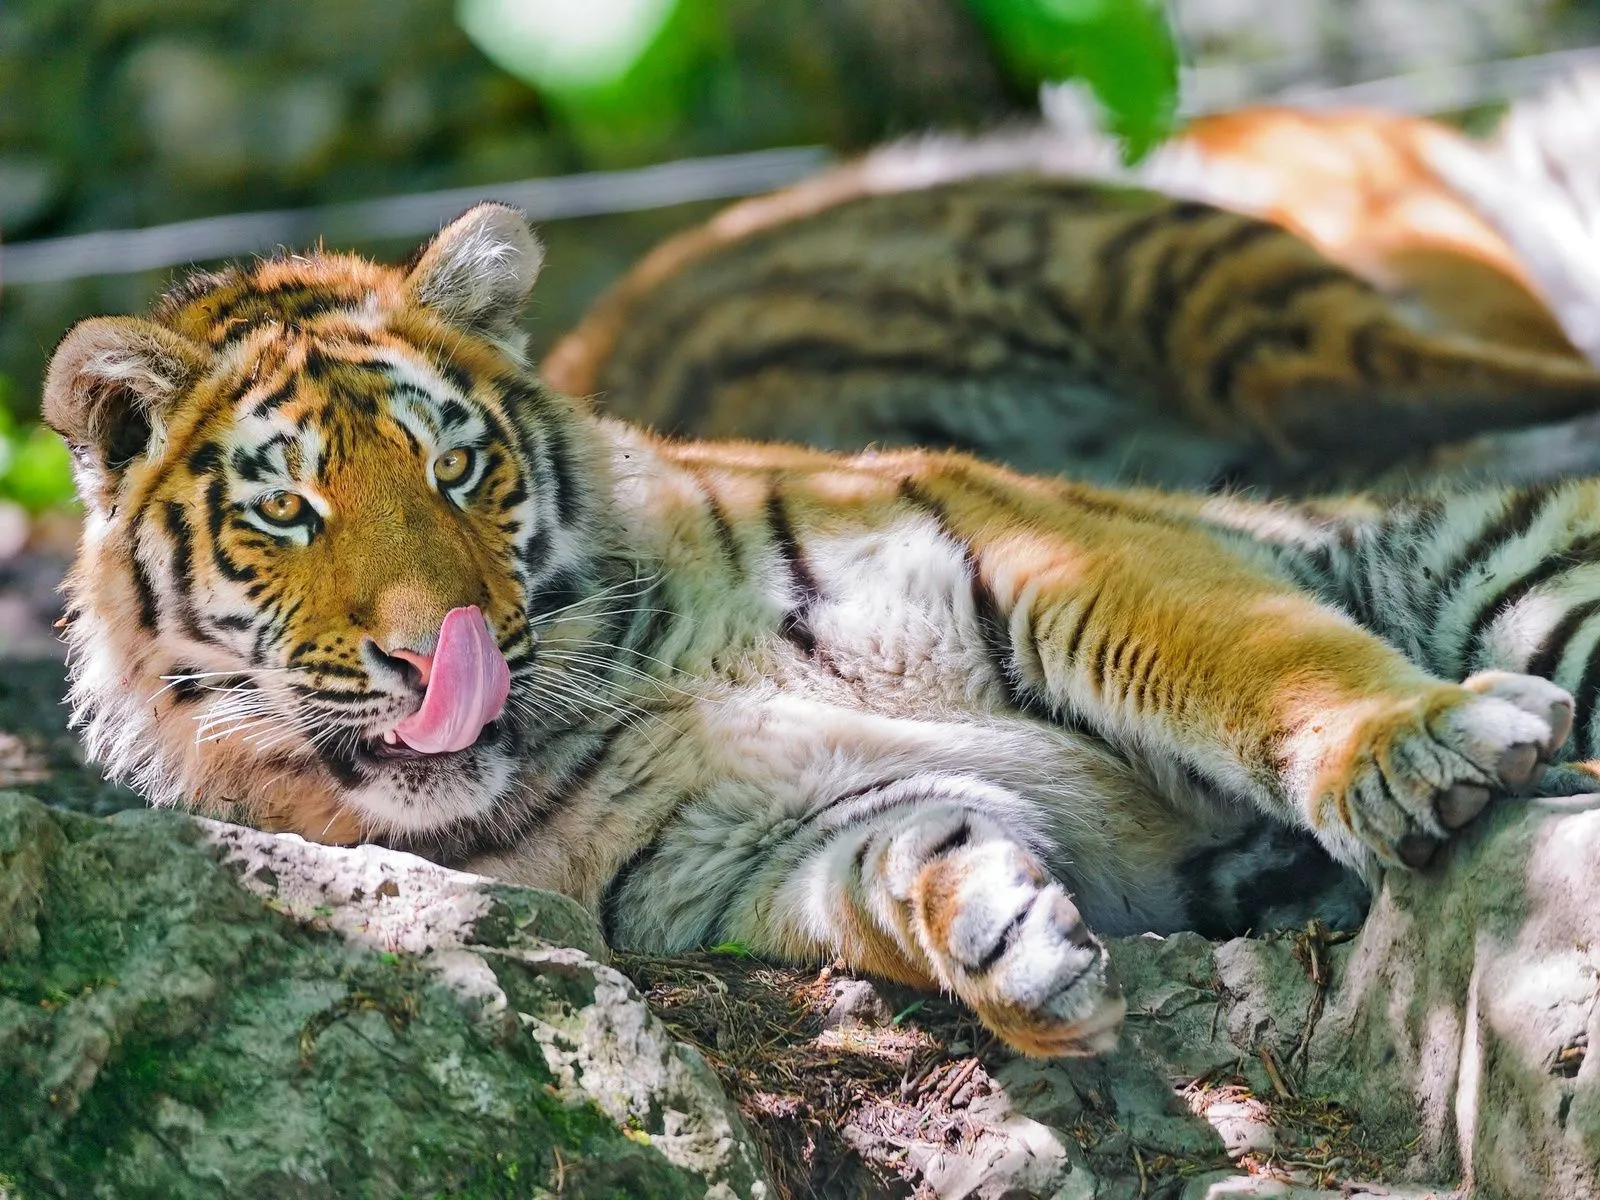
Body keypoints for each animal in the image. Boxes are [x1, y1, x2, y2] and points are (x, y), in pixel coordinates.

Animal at [40, 204, 1600, 1062]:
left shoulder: (1047, 555)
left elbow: (1258, 660)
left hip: (1502, 558)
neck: (618, 687)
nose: (442, 655)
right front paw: (1007, 945)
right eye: (288, 510)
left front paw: (1418, 740)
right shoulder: (750, 848)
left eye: (458, 469)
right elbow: (901, 863)